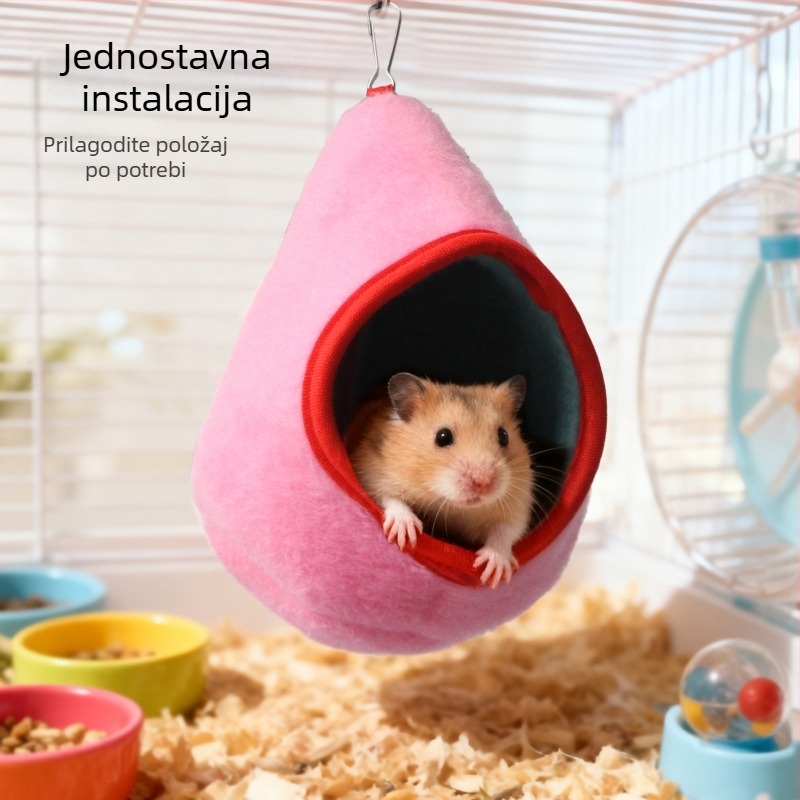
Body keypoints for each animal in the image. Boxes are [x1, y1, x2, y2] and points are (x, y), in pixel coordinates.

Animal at [346, 372, 535, 588]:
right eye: (443, 437)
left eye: (503, 436)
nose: (483, 482)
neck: (451, 504)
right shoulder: (370, 471)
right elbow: (389, 497)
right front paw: (406, 534)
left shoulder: (517, 505)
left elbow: (506, 530)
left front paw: (495, 571)